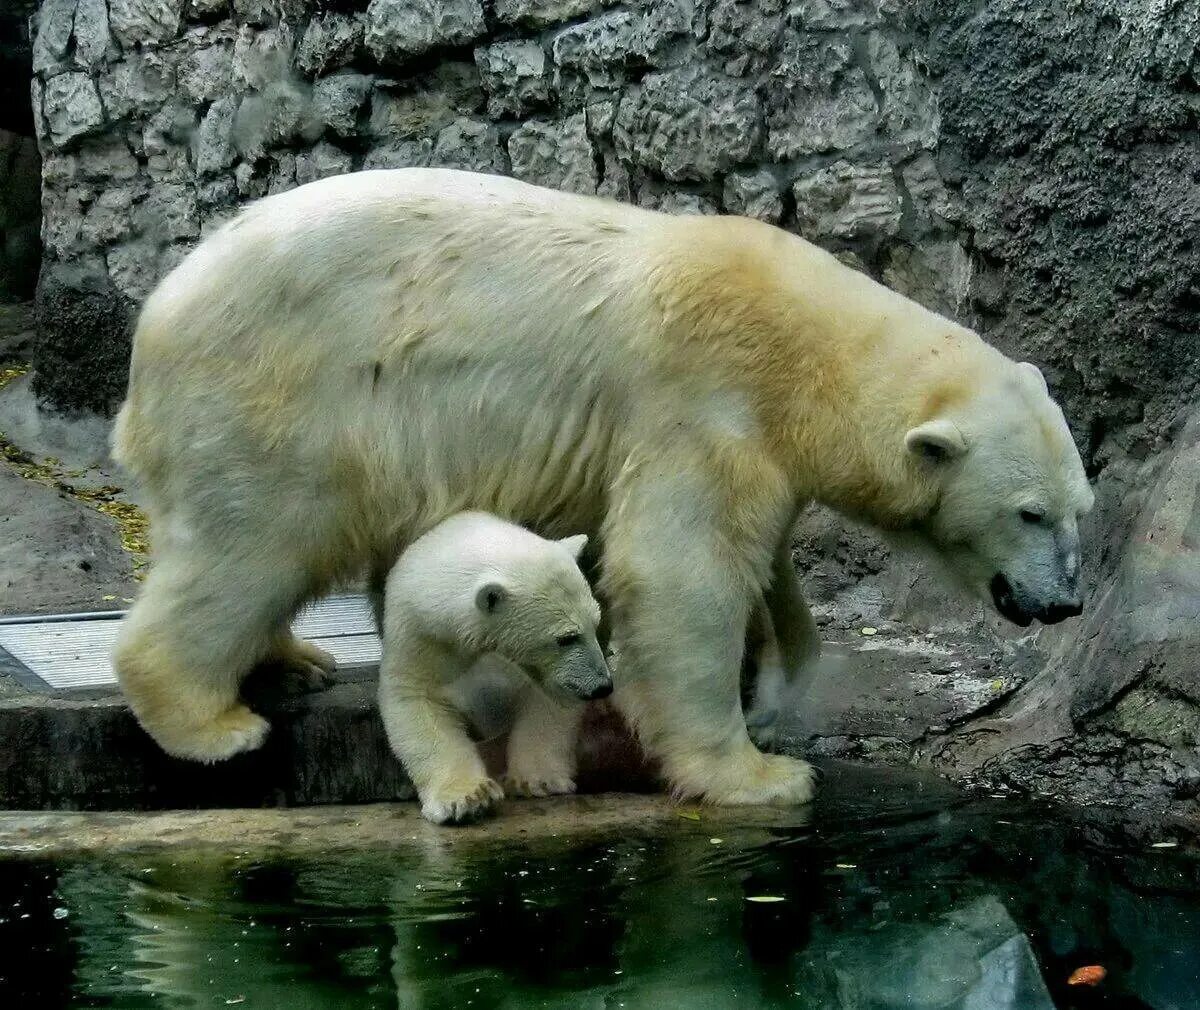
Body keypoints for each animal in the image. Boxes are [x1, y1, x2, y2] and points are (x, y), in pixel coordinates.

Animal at [114, 166, 1099, 801]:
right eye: (1029, 512)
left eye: (1079, 510)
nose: (1066, 604)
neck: (805, 355)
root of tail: (158, 311)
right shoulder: (702, 401)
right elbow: (682, 575)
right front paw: (760, 774)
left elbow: (764, 569)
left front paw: (778, 689)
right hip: (287, 396)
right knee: (252, 544)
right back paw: (212, 722)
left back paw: (294, 659)